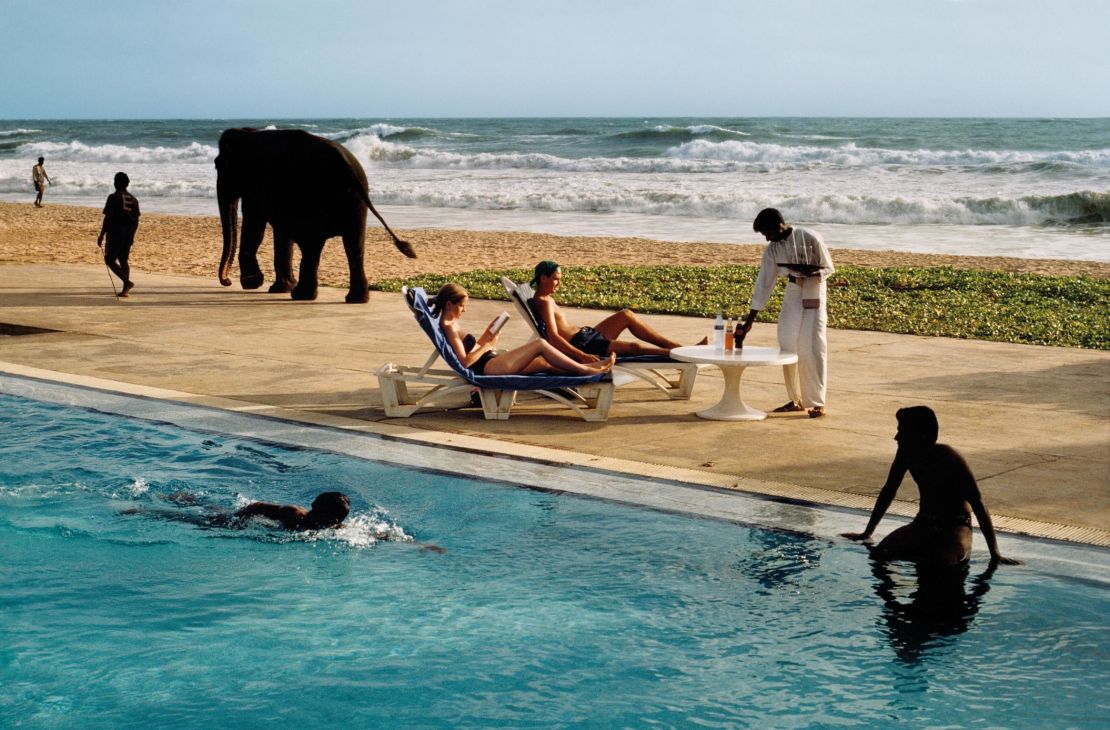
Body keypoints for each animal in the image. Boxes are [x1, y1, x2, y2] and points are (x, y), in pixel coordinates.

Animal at [214, 128, 415, 301]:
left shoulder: (256, 186)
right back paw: (355, 299)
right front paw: (274, 287)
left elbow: (256, 226)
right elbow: (279, 233)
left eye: (218, 166)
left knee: (312, 245)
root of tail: (345, 164)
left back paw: (302, 295)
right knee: (353, 245)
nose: (227, 281)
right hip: (356, 202)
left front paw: (255, 283)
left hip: (317, 200)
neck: (250, 133)